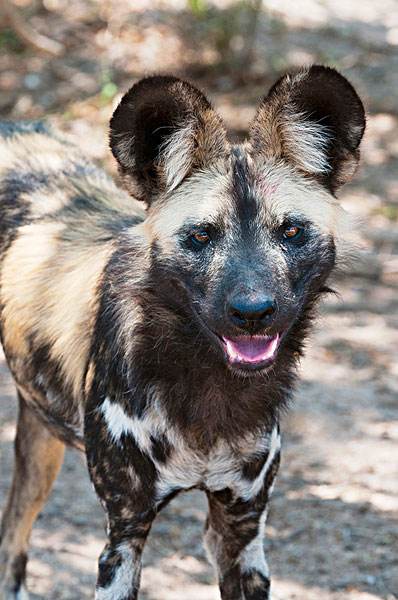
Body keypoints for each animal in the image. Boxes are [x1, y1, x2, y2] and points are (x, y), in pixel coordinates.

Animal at [0, 67, 364, 600]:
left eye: (292, 232)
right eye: (201, 236)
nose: (253, 312)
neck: (207, 397)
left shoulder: (241, 532)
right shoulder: (124, 536)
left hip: (40, 439)